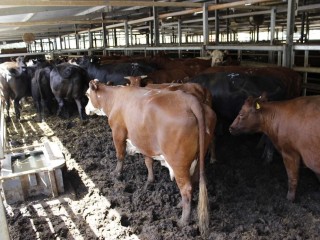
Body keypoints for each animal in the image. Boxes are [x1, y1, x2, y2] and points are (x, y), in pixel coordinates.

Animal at [85, 79, 216, 236]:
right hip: (197, 157)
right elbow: (148, 161)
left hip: (178, 162)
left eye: (87, 94)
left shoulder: (118, 132)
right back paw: (180, 204)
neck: (115, 97)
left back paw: (183, 221)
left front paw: (116, 173)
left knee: (186, 188)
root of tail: (189, 99)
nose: (85, 110)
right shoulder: (145, 142)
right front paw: (150, 180)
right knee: (194, 181)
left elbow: (120, 154)